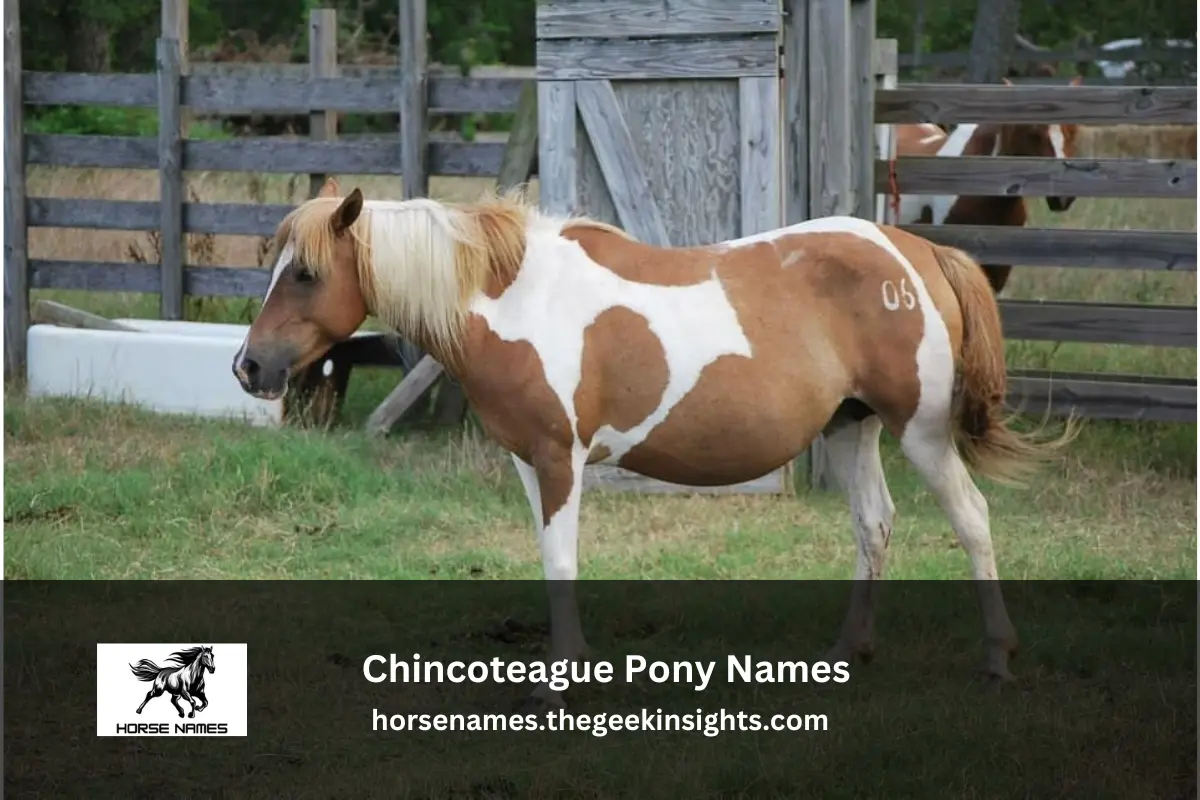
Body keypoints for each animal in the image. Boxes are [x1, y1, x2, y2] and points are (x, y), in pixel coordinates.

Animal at [232, 178, 1076, 711]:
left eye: (305, 274)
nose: (250, 368)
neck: (513, 296)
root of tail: (919, 252)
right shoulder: (528, 461)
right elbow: (552, 560)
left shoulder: (558, 459)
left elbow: (561, 561)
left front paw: (558, 682)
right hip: (852, 424)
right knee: (874, 524)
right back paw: (845, 655)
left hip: (921, 431)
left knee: (971, 519)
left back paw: (997, 657)